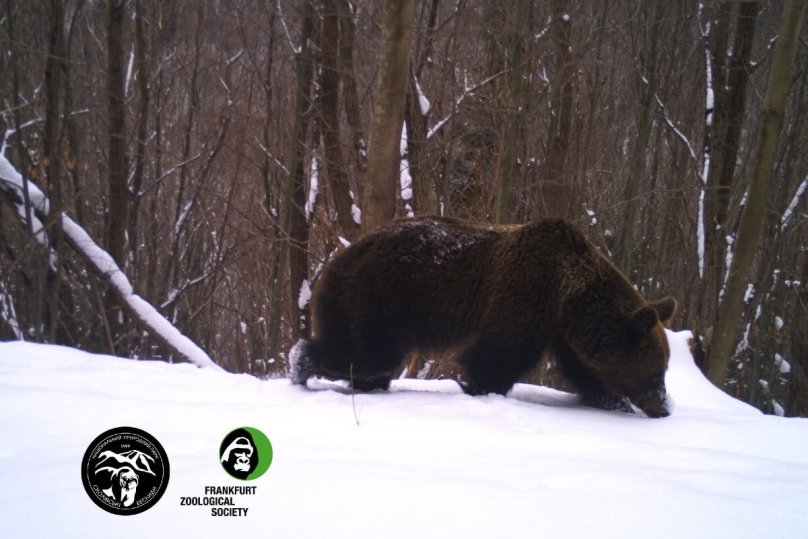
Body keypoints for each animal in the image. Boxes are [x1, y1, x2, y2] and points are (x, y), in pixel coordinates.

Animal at [290, 217, 676, 420]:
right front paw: (479, 388)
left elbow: (585, 371)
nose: (664, 407)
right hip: (379, 299)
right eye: (655, 370)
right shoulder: (527, 294)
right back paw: (302, 365)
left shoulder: (562, 333)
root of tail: (341, 257)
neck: (569, 296)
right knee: (366, 355)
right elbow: (496, 355)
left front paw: (613, 401)